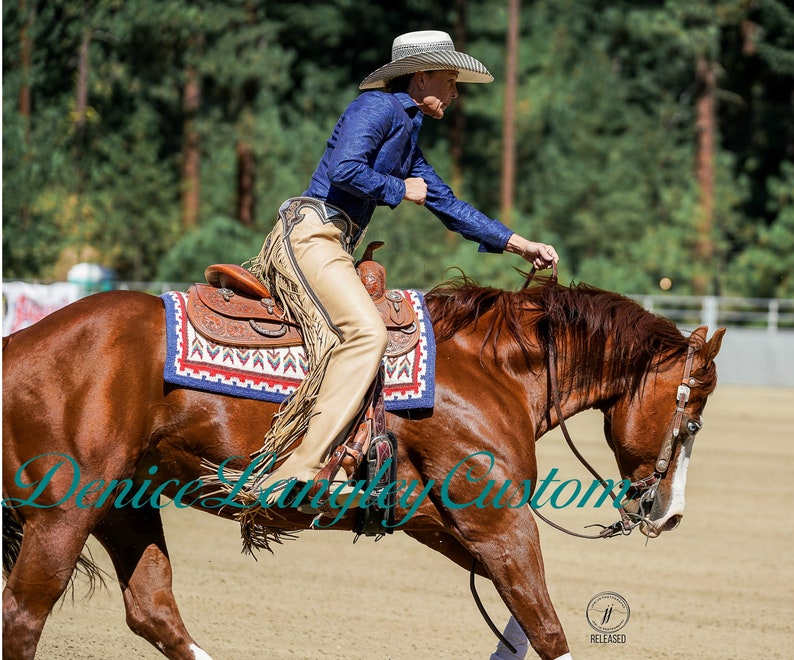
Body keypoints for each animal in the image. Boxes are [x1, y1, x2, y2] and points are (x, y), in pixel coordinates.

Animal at [2, 275, 725, 660]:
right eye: (692, 415)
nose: (670, 514)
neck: (490, 371)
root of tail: (21, 345)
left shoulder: (445, 525)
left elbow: (520, 625)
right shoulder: (499, 523)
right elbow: (545, 624)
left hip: (123, 506)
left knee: (153, 611)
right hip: (64, 512)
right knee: (25, 615)